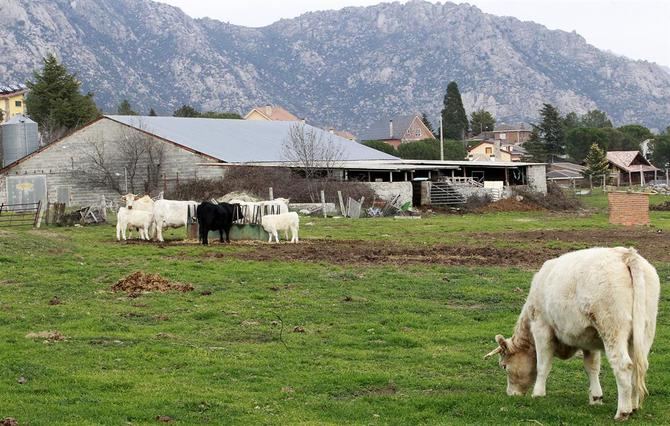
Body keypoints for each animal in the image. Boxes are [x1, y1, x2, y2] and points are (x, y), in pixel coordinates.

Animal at [488, 248, 660, 422]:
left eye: (504, 366)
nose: (511, 394)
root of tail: (626, 254)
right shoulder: (590, 340)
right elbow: (592, 367)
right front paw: (596, 398)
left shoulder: (541, 328)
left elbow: (543, 365)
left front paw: (538, 394)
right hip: (644, 332)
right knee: (639, 366)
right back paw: (633, 406)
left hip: (612, 328)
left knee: (624, 366)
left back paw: (623, 412)